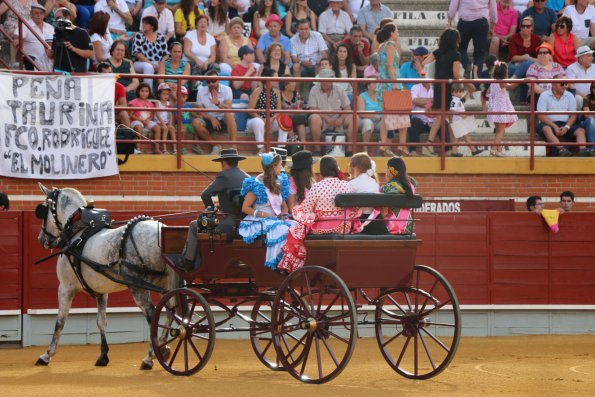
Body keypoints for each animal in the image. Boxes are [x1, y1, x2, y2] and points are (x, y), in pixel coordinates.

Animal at [34, 183, 179, 368]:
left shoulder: (65, 288)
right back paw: (162, 347)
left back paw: (151, 356)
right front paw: (103, 355)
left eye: (43, 209)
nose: (42, 239)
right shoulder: (101, 291)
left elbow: (60, 322)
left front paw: (47, 355)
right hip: (165, 284)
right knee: (170, 311)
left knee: (153, 315)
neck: (78, 231)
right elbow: (101, 321)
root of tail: (162, 231)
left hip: (139, 288)